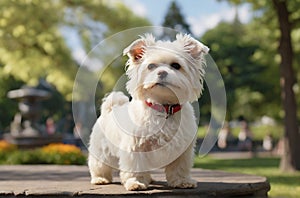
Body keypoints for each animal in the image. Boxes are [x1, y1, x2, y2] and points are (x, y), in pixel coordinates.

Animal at [88, 33, 207, 190]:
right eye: (151, 66)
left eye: (176, 65)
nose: (161, 72)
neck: (163, 107)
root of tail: (110, 108)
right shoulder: (135, 147)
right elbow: (134, 167)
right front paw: (135, 183)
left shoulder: (182, 150)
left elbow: (179, 167)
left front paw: (182, 181)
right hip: (101, 151)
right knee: (98, 165)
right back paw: (100, 179)